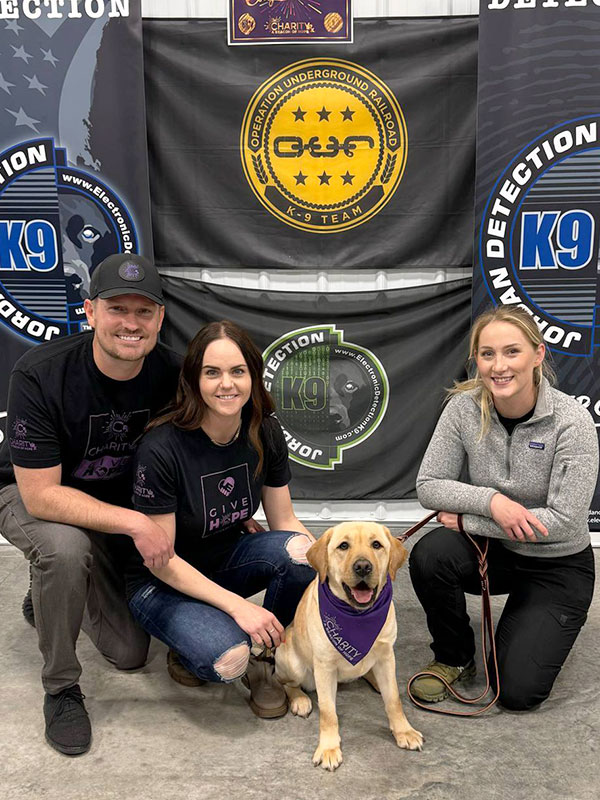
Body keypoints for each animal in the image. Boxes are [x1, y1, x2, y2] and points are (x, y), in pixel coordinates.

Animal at [276, 520, 422, 768]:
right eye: (343, 546)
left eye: (376, 545)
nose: (363, 567)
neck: (358, 617)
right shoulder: (324, 666)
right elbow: (328, 712)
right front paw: (328, 747)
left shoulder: (386, 656)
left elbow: (393, 700)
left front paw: (404, 731)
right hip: (292, 662)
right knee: (285, 682)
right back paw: (300, 700)